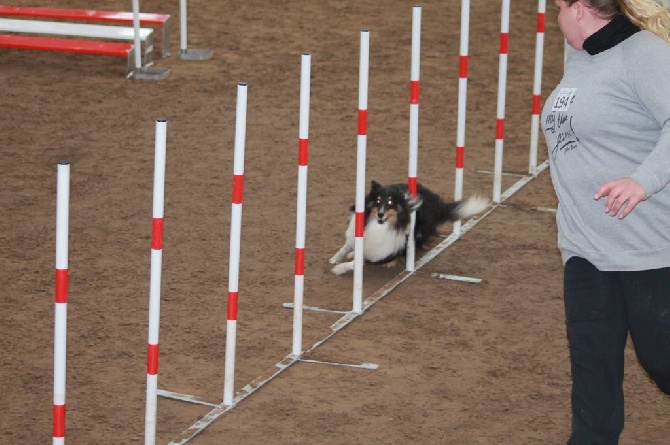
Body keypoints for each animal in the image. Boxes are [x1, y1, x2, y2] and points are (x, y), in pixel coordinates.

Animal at [330, 180, 488, 274]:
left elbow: (359, 263)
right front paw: (336, 259)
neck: (379, 225)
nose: (380, 214)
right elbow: (346, 247)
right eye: (378, 200)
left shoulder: (382, 251)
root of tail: (436, 204)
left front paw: (338, 268)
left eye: (390, 202)